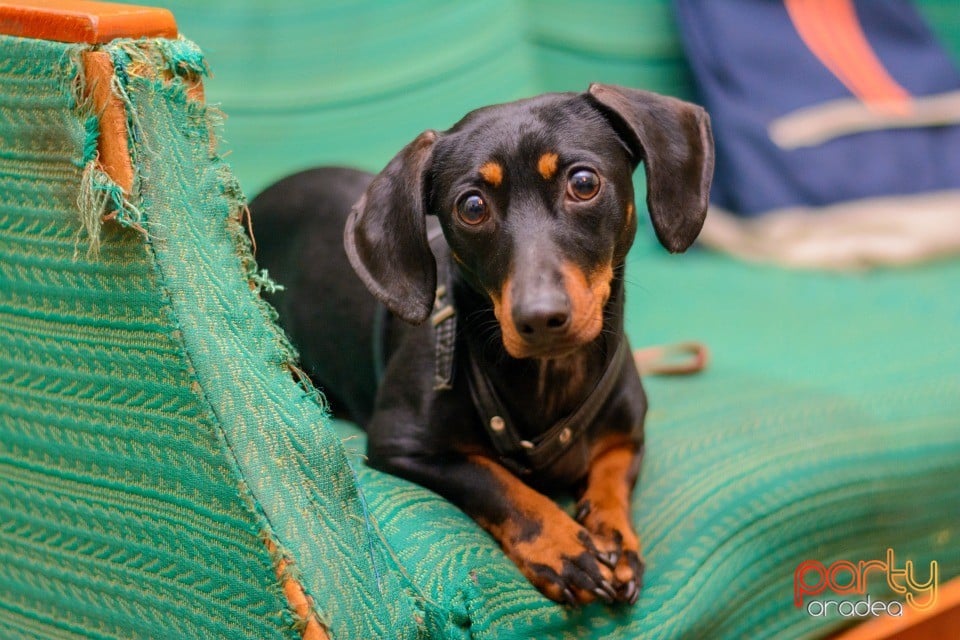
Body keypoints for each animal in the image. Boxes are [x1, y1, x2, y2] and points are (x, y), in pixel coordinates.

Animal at [248, 82, 712, 608]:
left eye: (584, 183)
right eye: (471, 207)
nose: (540, 318)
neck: (550, 378)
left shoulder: (628, 436)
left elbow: (612, 475)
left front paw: (614, 534)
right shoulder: (401, 444)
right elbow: (495, 482)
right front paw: (563, 546)